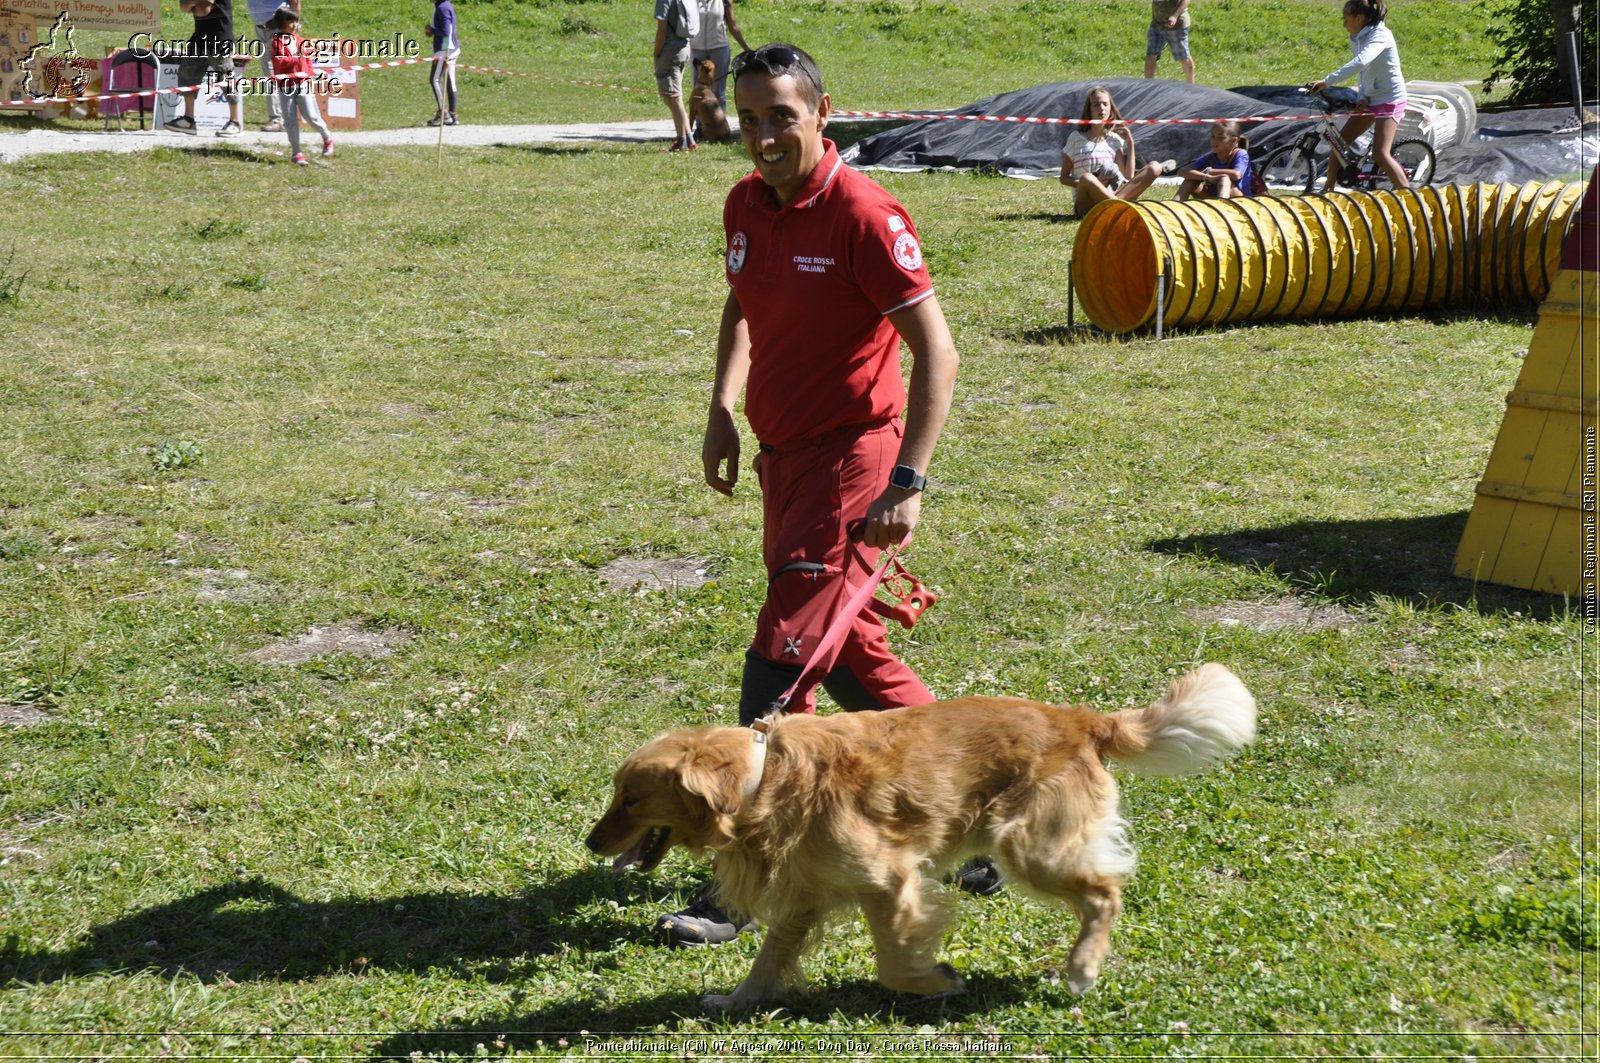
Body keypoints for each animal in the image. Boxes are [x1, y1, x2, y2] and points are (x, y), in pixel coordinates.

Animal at [582, 665, 1254, 1011]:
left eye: (630, 798)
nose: (590, 843)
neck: (759, 780)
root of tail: (1080, 718)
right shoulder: (804, 893)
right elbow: (770, 956)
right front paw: (738, 1000)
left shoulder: (888, 879)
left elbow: (892, 962)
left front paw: (936, 981)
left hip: (1029, 847)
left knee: (1104, 893)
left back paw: (1082, 968)